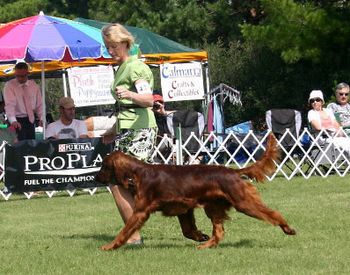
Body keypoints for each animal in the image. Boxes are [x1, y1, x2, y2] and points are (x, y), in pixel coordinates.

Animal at [95, 135, 296, 251]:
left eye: (104, 166)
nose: (96, 177)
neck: (138, 173)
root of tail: (233, 172)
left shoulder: (140, 212)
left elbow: (124, 231)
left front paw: (110, 246)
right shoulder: (183, 209)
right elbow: (187, 230)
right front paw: (201, 236)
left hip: (243, 202)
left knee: (273, 213)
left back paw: (288, 228)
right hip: (213, 207)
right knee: (219, 232)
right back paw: (206, 245)